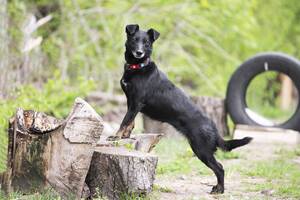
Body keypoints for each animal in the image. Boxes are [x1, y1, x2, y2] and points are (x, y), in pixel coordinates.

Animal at [116, 24, 252, 194]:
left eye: (146, 43)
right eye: (134, 40)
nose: (139, 52)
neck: (138, 66)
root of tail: (213, 128)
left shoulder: (136, 103)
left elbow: (124, 121)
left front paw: (115, 137)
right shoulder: (131, 102)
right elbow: (130, 122)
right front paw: (125, 136)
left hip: (201, 150)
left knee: (220, 168)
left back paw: (219, 190)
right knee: (219, 167)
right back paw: (218, 188)